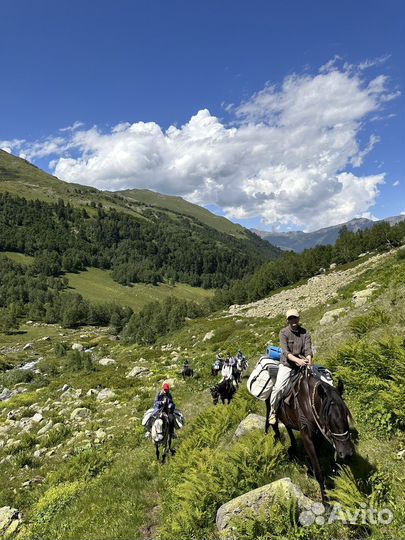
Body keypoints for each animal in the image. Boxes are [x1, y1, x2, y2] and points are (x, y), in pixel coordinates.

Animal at [264, 368, 352, 506]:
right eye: (327, 419)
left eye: (346, 414)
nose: (347, 453)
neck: (308, 403)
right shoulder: (306, 435)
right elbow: (319, 470)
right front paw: (326, 502)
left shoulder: (317, 435)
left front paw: (309, 471)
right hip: (271, 410)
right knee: (275, 427)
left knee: (288, 427)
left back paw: (292, 448)